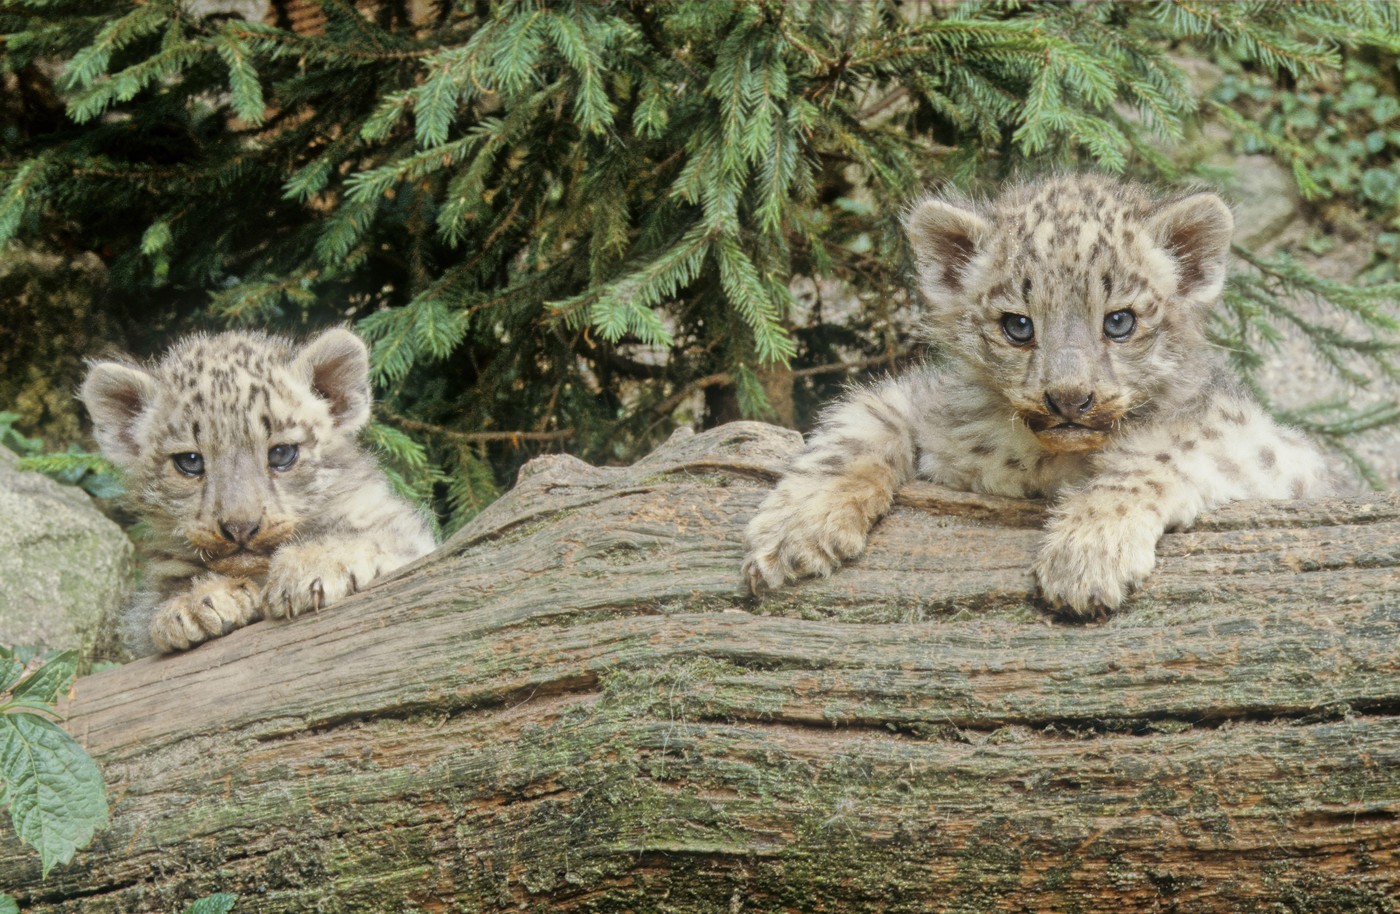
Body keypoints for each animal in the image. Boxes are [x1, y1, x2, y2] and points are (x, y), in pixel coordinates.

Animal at [81, 328, 436, 654]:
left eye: (281, 453)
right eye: (190, 461)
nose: (240, 527)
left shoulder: (396, 528)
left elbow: (373, 537)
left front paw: (310, 568)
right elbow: (157, 601)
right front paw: (194, 604)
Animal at [743, 174, 1332, 617]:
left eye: (1119, 321)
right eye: (1017, 325)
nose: (1069, 398)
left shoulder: (1271, 447)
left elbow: (1165, 450)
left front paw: (1087, 554)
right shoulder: (920, 401)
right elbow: (855, 433)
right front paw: (794, 533)